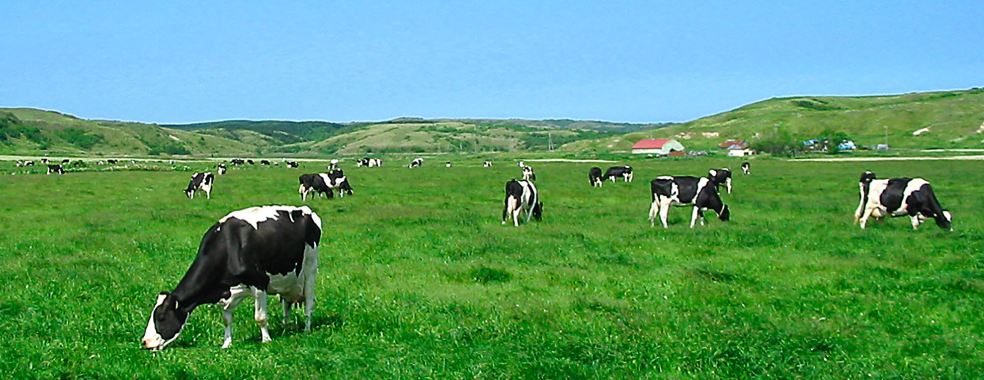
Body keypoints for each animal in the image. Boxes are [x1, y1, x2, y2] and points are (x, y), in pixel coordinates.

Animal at [141, 205, 322, 350]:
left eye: (161, 317)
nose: (145, 341)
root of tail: (306, 210)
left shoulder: (260, 282)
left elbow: (260, 317)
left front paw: (266, 340)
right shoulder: (226, 292)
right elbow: (227, 320)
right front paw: (226, 344)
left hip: (310, 268)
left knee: (309, 303)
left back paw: (306, 329)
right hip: (288, 280)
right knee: (287, 304)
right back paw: (285, 328)